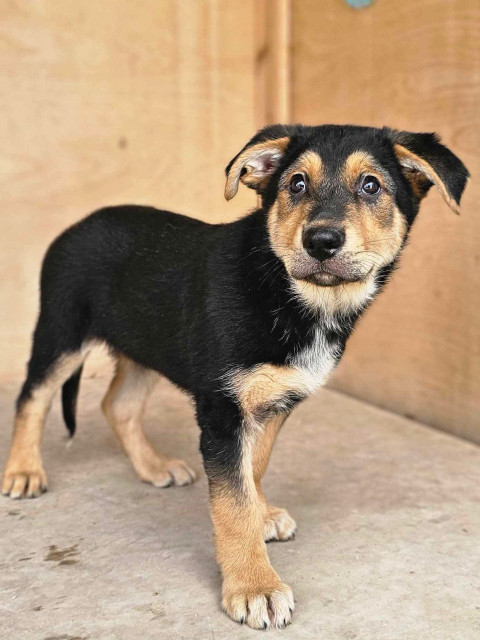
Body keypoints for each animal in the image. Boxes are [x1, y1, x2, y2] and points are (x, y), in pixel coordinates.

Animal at [2, 124, 468, 629]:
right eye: (296, 184)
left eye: (371, 186)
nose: (321, 240)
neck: (288, 293)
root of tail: (78, 225)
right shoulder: (222, 409)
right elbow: (232, 501)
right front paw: (254, 586)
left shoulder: (275, 399)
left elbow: (253, 468)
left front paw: (261, 517)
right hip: (62, 331)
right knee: (32, 396)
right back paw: (24, 471)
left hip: (146, 344)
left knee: (116, 404)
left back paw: (153, 466)